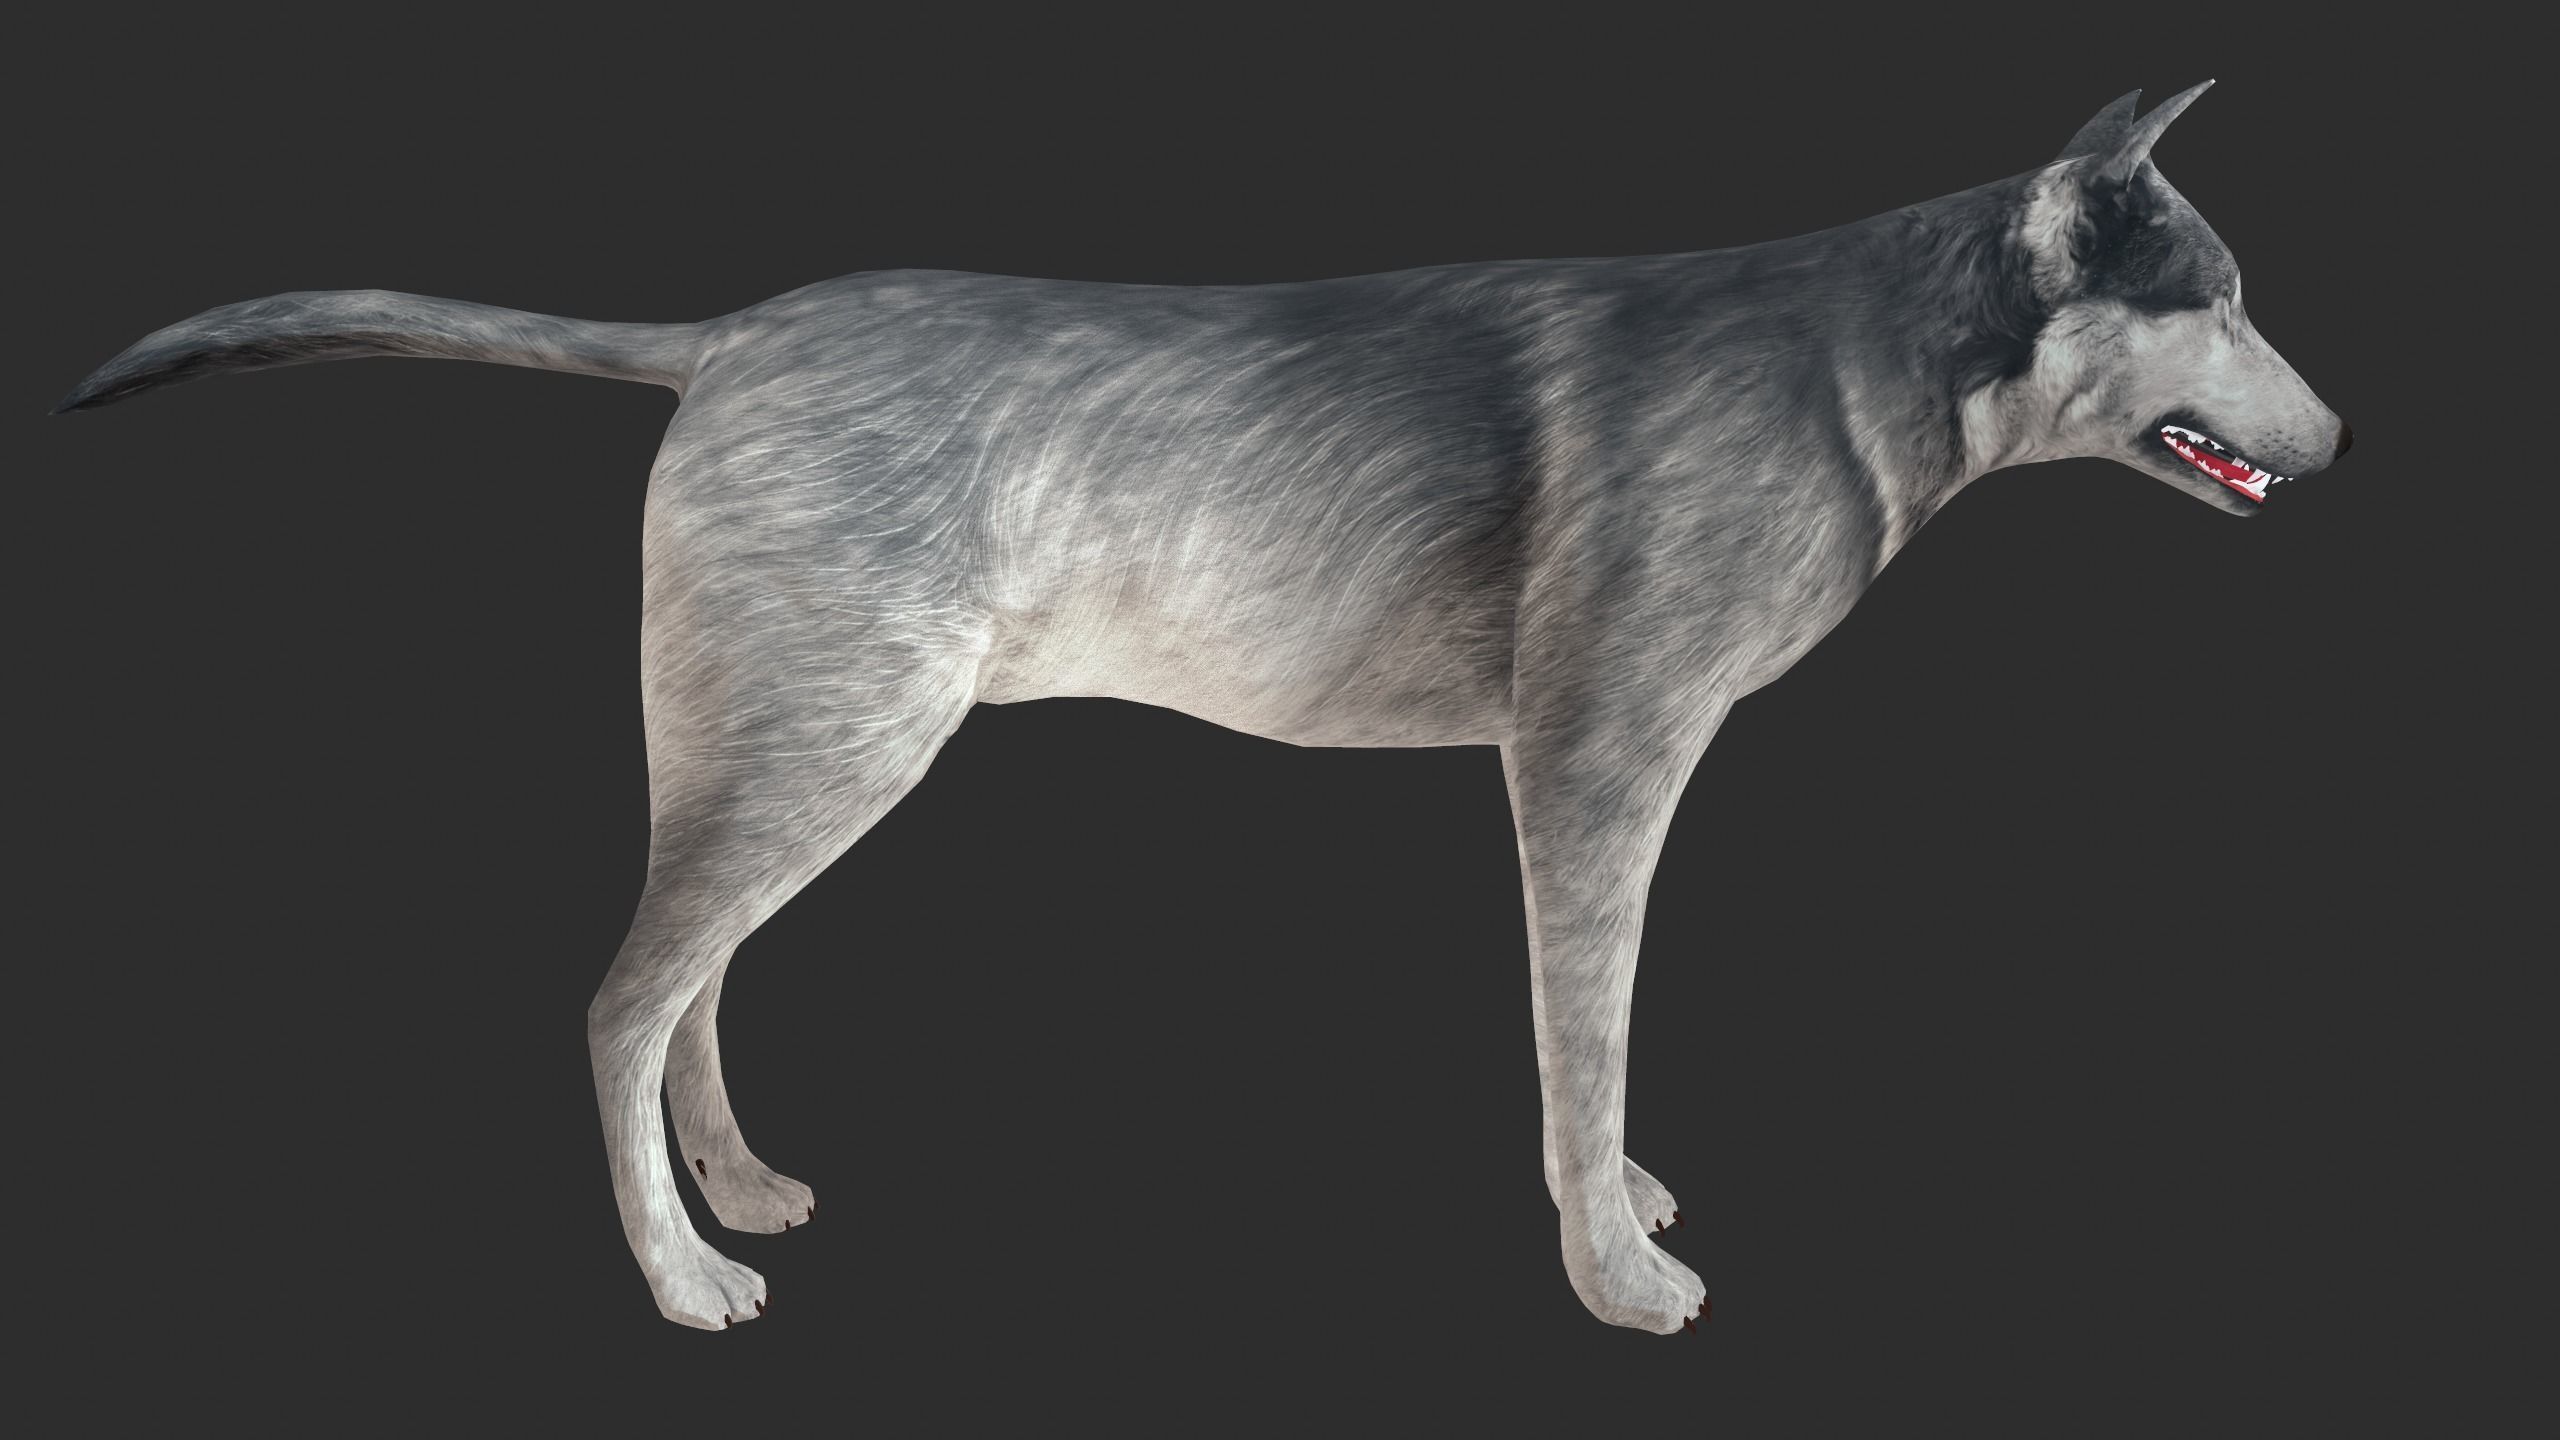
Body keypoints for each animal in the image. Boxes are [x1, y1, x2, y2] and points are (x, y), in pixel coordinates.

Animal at [57, 81, 2347, 1335]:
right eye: (2221, 301)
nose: (2338, 441)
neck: (1866, 357)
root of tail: (728, 335)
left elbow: (1603, 1062)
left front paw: (1629, 1212)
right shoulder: (1593, 763)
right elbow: (1581, 1048)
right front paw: (1616, 1271)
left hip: (789, 740)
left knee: (690, 979)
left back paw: (740, 1194)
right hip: (833, 739)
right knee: (624, 997)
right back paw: (684, 1277)